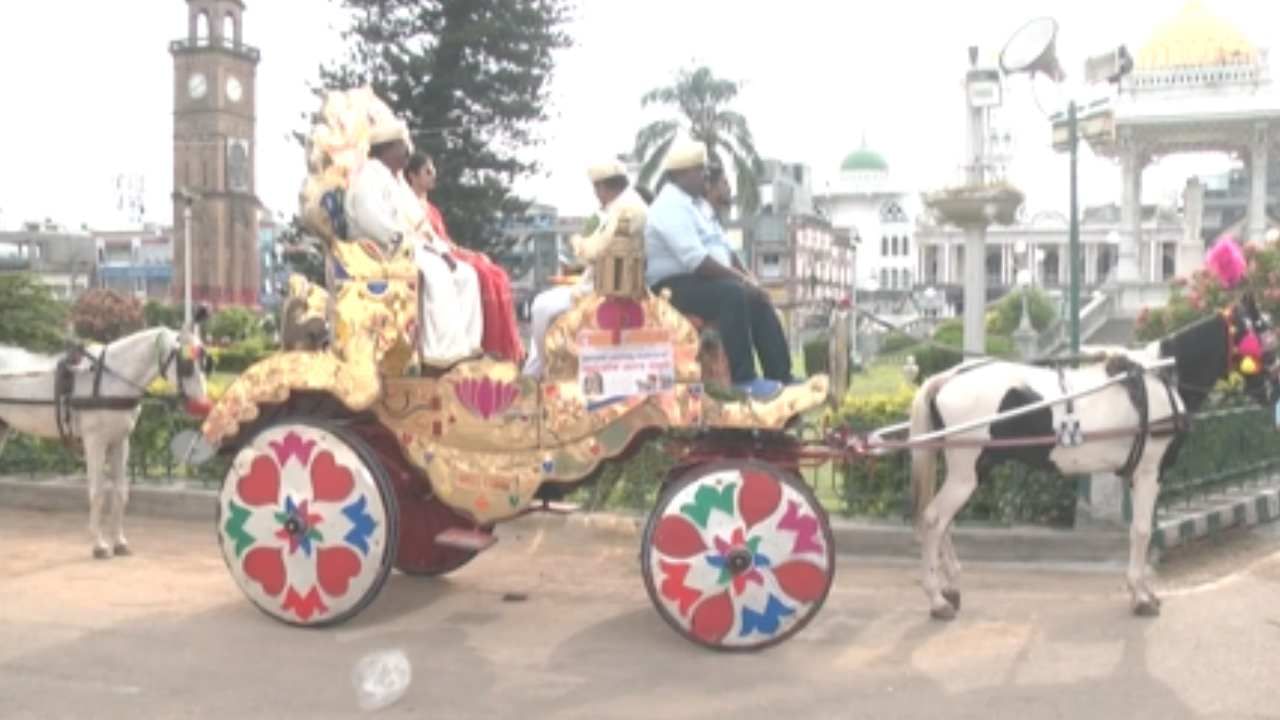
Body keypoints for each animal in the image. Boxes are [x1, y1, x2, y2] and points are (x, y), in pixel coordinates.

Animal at [0, 324, 212, 556]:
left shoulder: (120, 441)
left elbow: (120, 491)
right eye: (186, 364)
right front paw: (99, 545)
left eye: (206, 363)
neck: (110, 380)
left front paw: (119, 542)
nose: (203, 406)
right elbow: (98, 492)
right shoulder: (95, 441)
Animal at [906, 293, 1274, 617]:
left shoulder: (1135, 472)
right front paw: (1141, 597)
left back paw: (951, 586)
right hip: (966, 470)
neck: (1162, 378)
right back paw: (936, 598)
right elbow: (1142, 530)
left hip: (973, 469)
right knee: (934, 519)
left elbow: (1136, 531)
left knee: (944, 520)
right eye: (1268, 344)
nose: (1272, 394)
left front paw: (1141, 589)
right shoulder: (1149, 471)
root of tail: (947, 377)